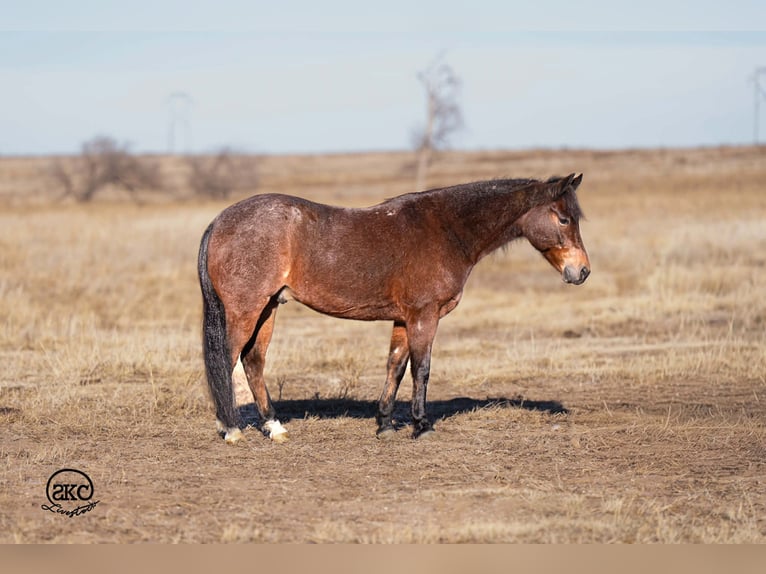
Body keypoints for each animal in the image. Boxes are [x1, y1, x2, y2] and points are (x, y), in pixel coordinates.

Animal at [197, 173, 590, 444]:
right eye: (563, 219)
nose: (582, 271)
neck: (447, 229)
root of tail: (219, 222)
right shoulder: (424, 316)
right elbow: (422, 369)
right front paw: (421, 425)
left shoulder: (403, 319)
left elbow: (396, 367)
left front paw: (385, 423)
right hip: (246, 310)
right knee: (227, 361)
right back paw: (231, 428)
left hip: (268, 308)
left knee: (253, 362)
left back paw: (274, 427)